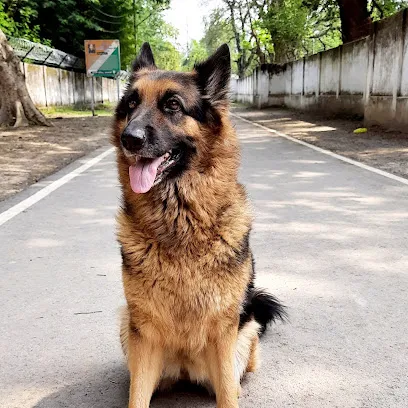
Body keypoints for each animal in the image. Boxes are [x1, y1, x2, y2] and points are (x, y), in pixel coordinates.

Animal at [110, 43, 286, 406]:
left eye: (173, 105)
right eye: (132, 103)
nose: (129, 138)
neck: (180, 227)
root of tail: (186, 370)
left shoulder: (222, 331)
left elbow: (228, 396)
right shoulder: (143, 331)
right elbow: (137, 397)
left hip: (243, 339)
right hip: (127, 326)